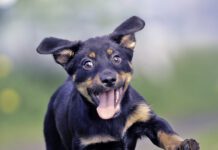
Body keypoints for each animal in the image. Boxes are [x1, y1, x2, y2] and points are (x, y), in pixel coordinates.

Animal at [36, 16, 199, 150]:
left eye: (116, 58)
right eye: (87, 64)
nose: (108, 79)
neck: (113, 119)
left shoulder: (148, 119)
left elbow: (167, 133)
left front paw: (184, 144)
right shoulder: (86, 143)